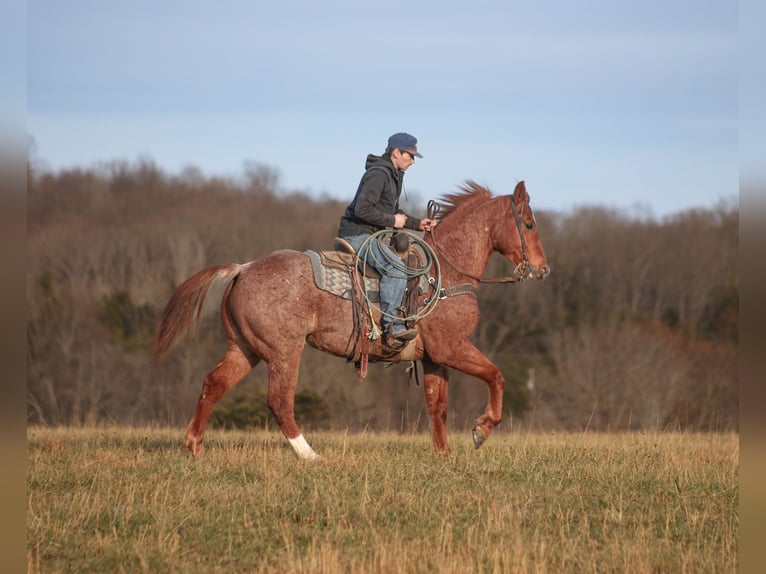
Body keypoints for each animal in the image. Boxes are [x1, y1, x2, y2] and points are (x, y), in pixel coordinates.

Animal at [152, 180, 550, 459]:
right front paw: (482, 429)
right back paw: (310, 455)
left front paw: (445, 454)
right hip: (283, 352)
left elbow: (438, 407)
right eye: (529, 224)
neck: (445, 275)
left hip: (244, 349)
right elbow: (495, 375)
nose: (543, 269)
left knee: (213, 384)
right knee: (279, 400)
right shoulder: (452, 348)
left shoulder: (435, 358)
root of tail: (243, 268)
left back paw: (194, 445)